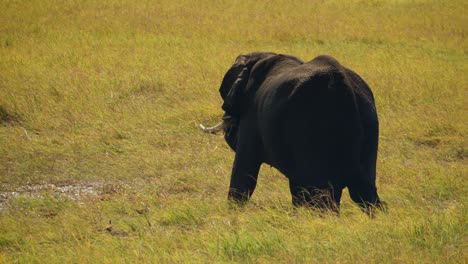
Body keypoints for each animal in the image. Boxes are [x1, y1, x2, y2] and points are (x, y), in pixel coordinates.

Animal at [199, 52, 386, 214]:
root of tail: (342, 86)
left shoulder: (251, 115)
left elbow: (244, 172)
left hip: (312, 129)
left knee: (325, 195)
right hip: (368, 124)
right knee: (363, 192)